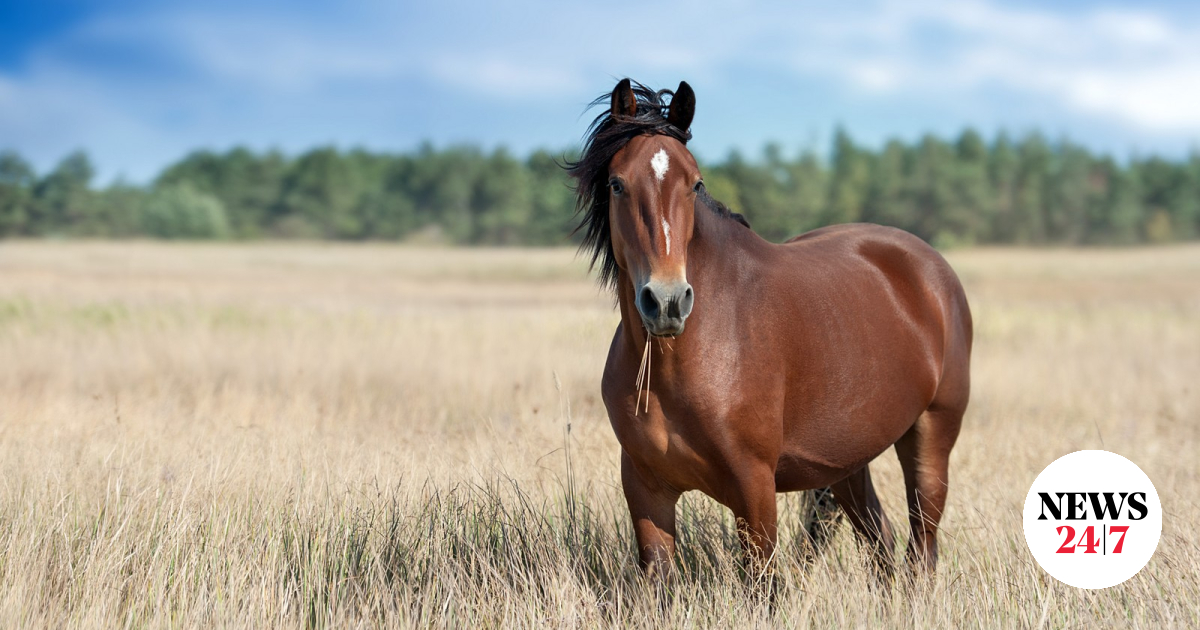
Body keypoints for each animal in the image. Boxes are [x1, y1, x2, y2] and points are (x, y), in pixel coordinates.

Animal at [566, 81, 969, 583]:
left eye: (695, 184)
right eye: (617, 183)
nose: (667, 302)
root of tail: (932, 268)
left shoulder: (753, 487)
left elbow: (764, 586)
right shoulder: (646, 489)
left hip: (931, 437)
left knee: (922, 546)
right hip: (848, 463)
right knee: (881, 540)